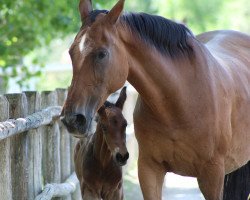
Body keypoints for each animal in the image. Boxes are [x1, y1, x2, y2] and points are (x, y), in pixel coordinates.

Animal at [61, 0, 250, 199]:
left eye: (102, 53)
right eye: (71, 52)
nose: (72, 119)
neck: (180, 102)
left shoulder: (212, 176)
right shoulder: (149, 170)